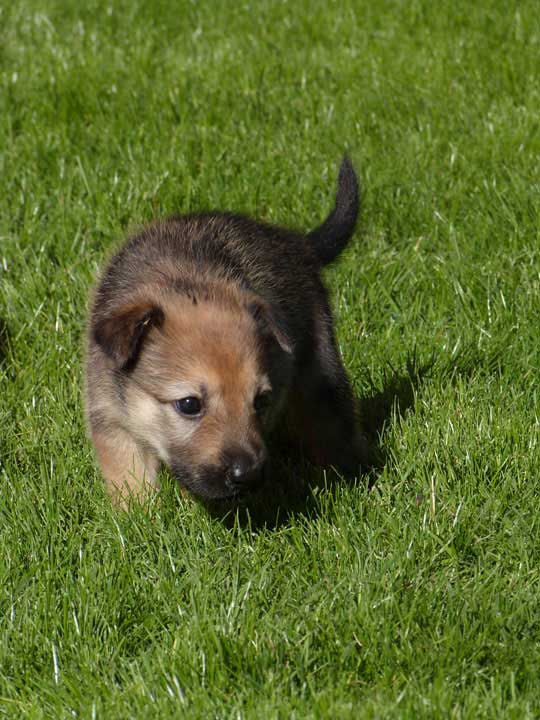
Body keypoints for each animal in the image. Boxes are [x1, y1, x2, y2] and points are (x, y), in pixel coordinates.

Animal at [86, 158, 368, 506]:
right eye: (189, 404)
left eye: (261, 400)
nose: (247, 475)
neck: (183, 282)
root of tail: (296, 242)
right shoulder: (110, 417)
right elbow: (129, 477)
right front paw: (137, 513)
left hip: (321, 367)